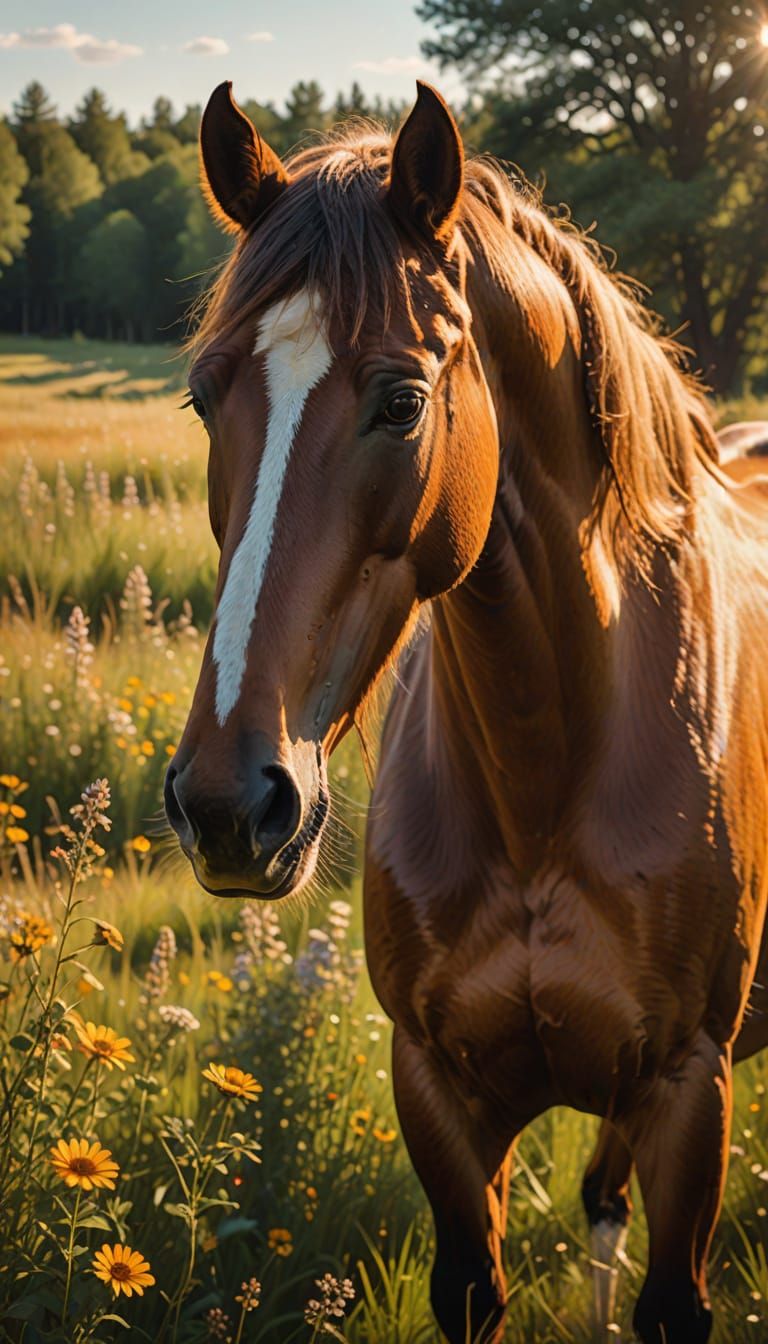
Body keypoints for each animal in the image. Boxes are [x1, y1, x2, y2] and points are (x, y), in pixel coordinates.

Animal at [166, 80, 768, 1343]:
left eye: (402, 400)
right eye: (204, 395)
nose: (228, 805)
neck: (551, 767)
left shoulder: (691, 1093)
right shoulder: (438, 1094)